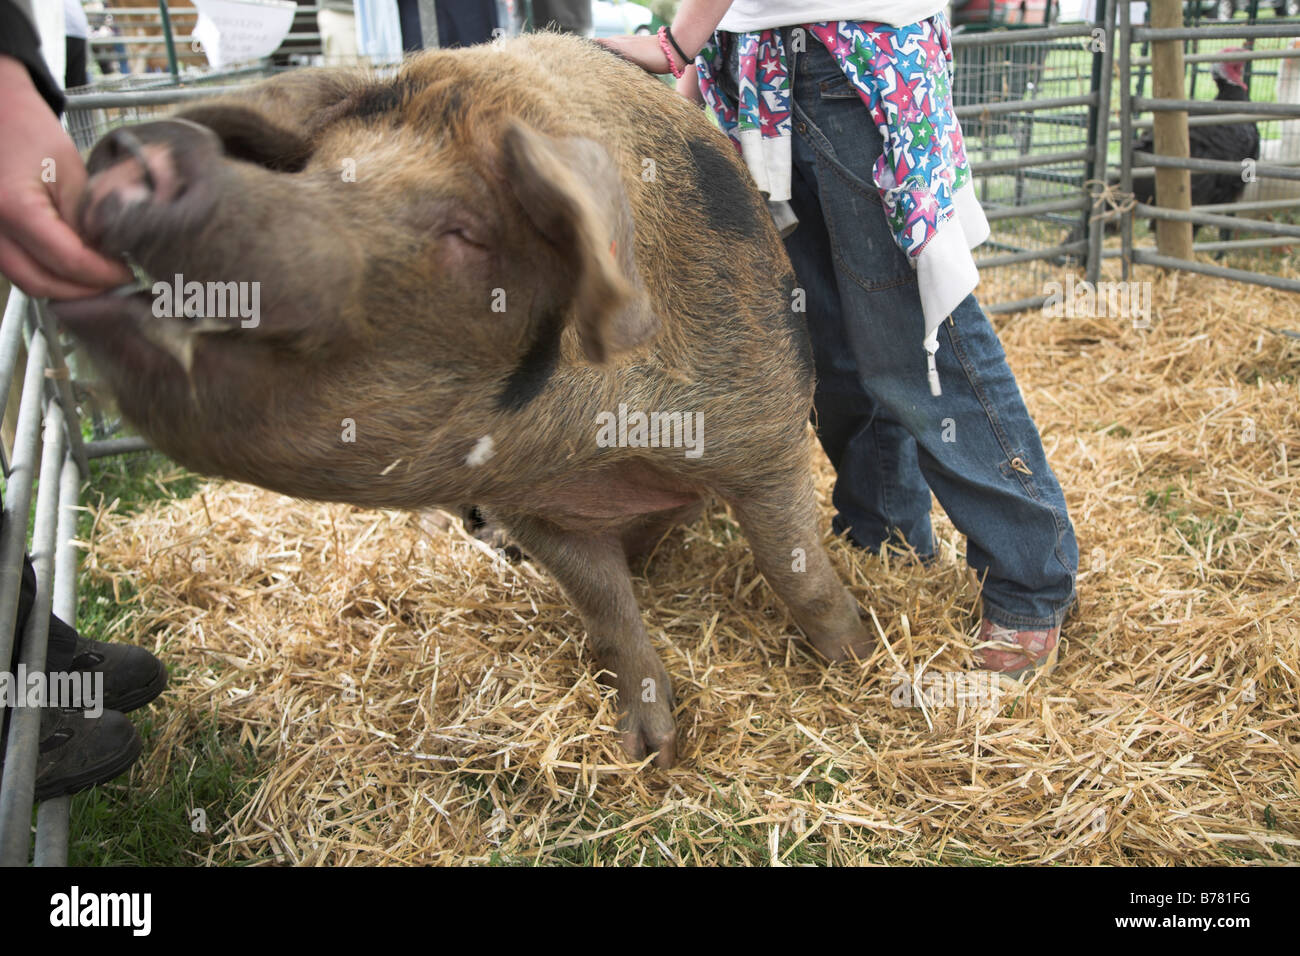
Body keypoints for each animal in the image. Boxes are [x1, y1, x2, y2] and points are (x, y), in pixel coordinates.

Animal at [58, 29, 873, 764]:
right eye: (315, 170)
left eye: (466, 231)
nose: (146, 152)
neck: (608, 446)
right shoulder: (539, 506)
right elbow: (609, 614)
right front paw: (649, 752)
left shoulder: (765, 432)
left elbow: (795, 568)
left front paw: (855, 656)